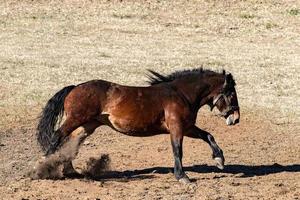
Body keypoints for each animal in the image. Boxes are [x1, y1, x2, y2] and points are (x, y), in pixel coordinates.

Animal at [37, 67, 239, 183]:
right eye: (231, 93)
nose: (236, 118)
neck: (180, 94)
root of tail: (75, 87)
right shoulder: (177, 128)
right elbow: (177, 150)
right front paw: (182, 177)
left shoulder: (187, 127)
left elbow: (208, 135)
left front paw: (219, 159)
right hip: (76, 119)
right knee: (57, 136)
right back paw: (42, 169)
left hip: (88, 124)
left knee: (73, 141)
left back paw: (70, 171)